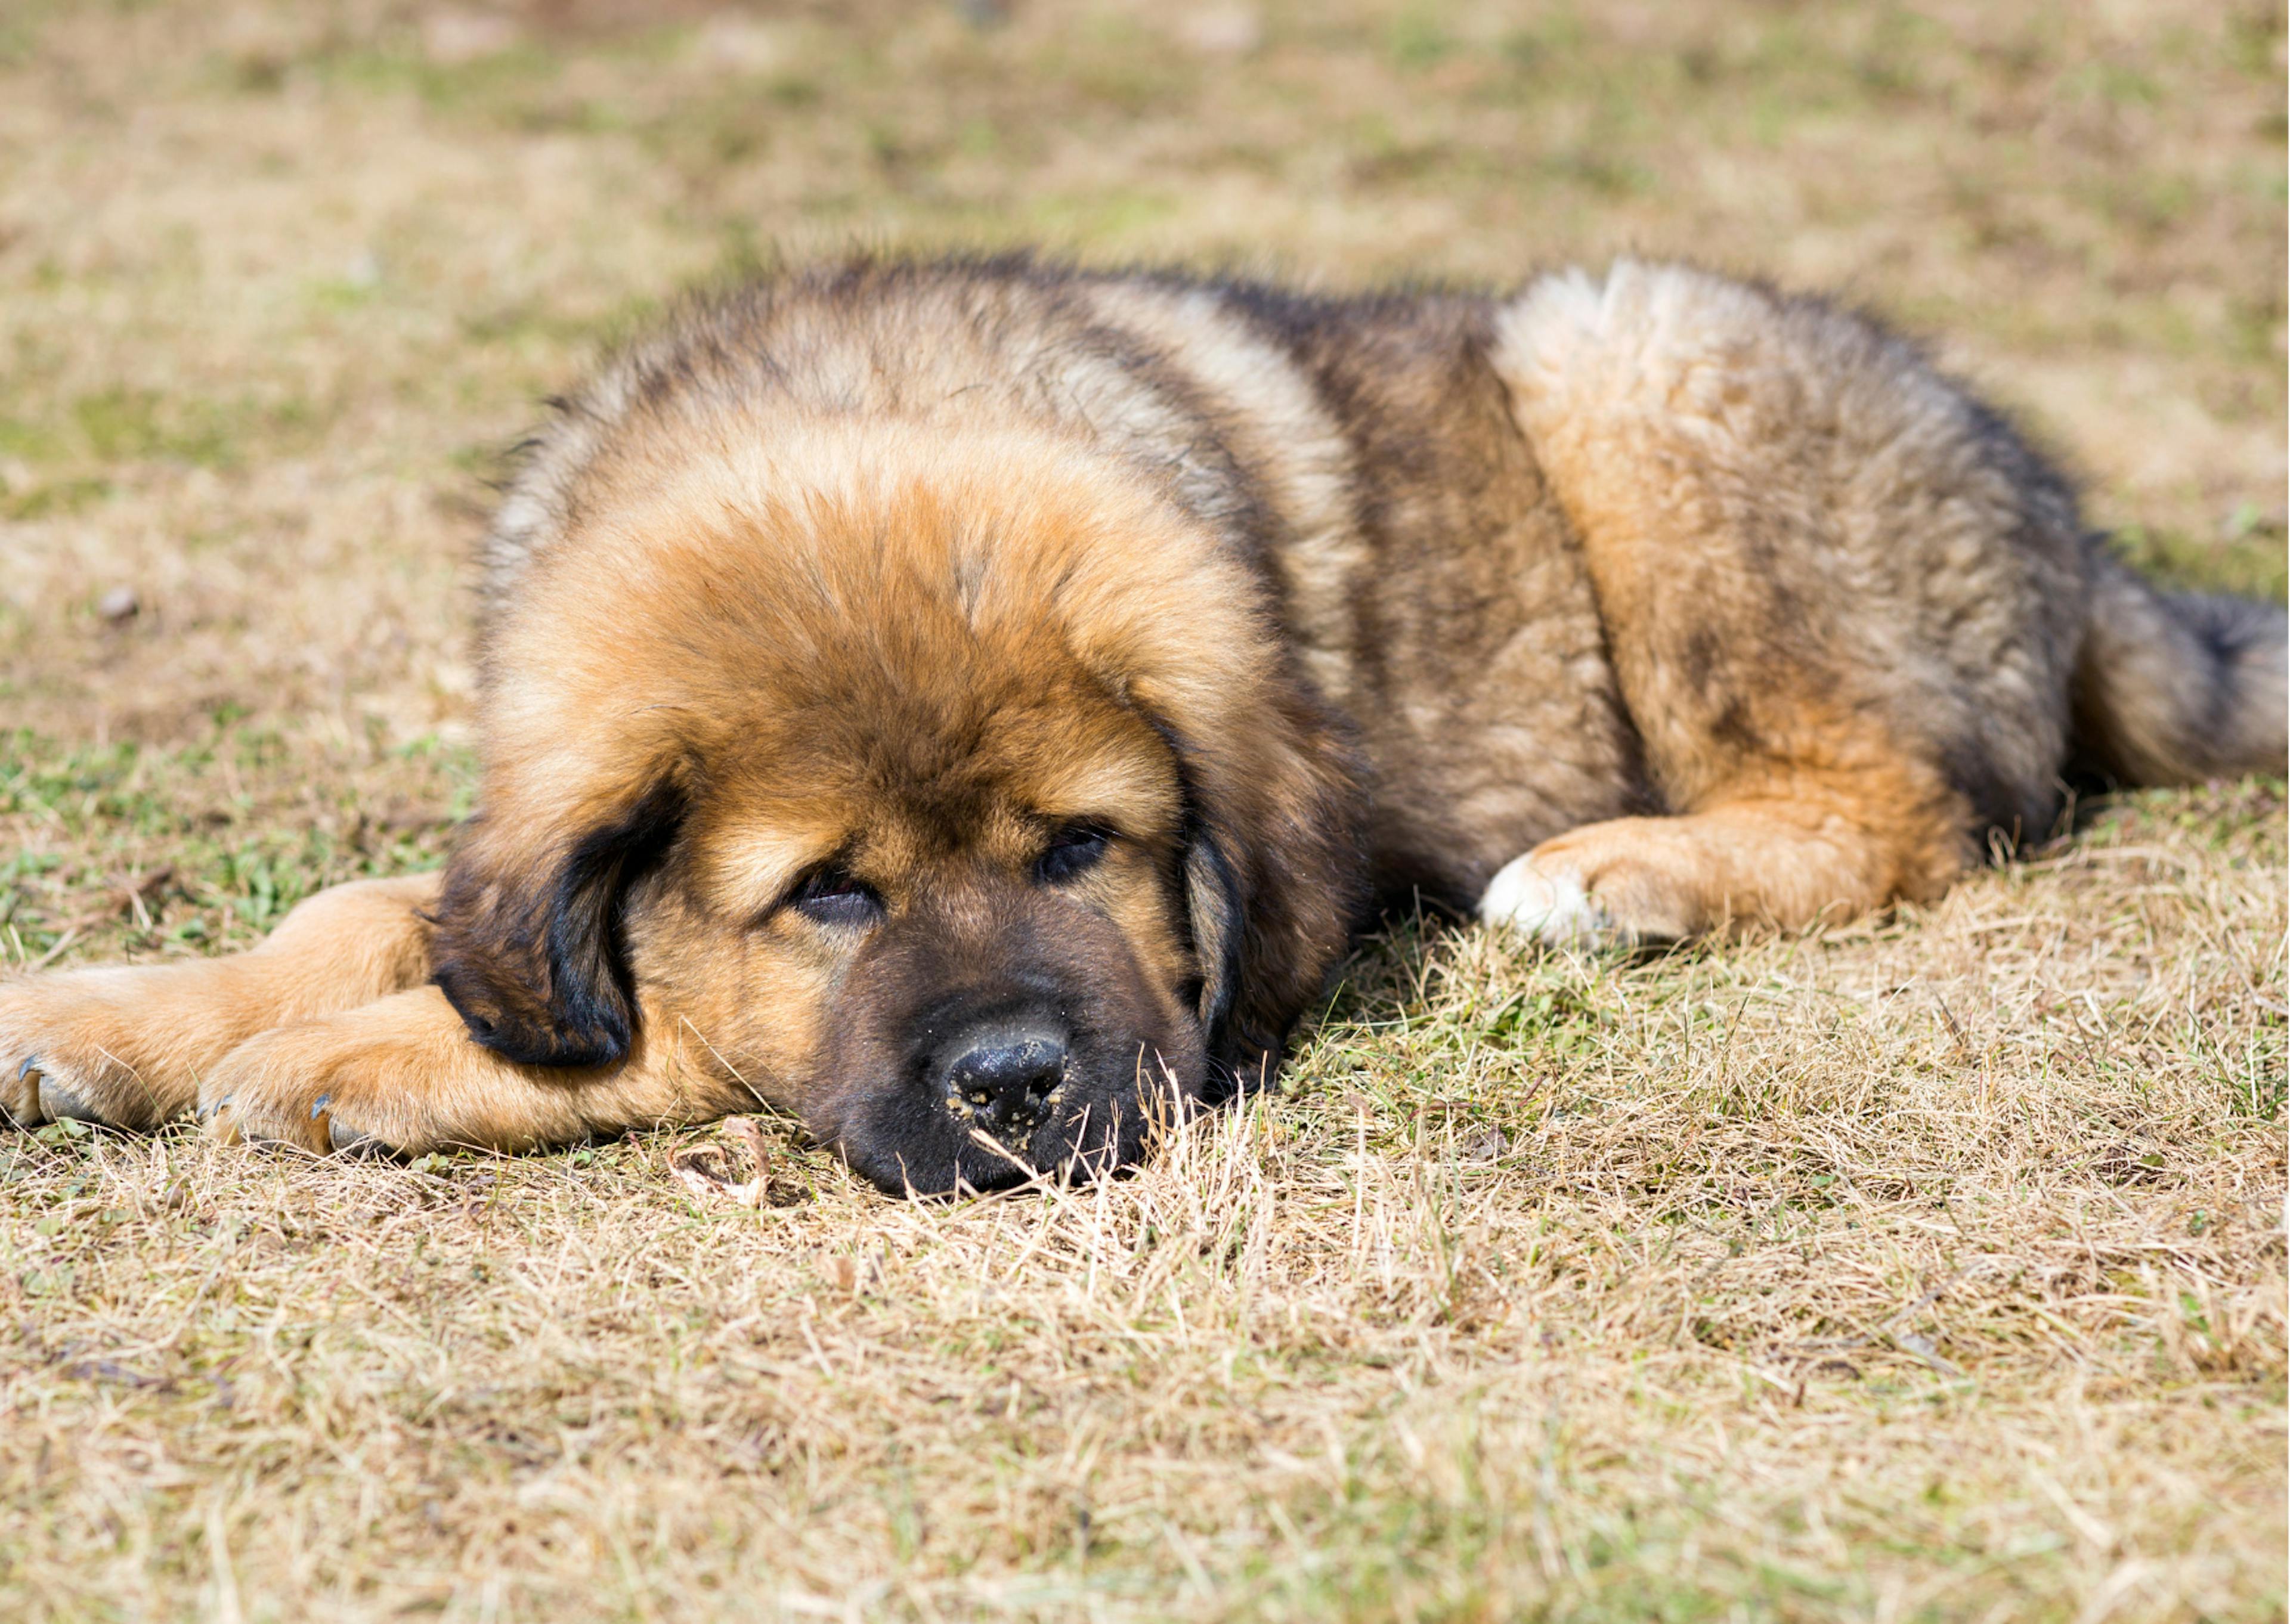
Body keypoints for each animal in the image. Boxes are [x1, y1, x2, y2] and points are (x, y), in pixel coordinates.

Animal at [4, 256, 2290, 1191]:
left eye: (1080, 848)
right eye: (828, 894)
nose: (1022, 1082)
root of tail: (2072, 536)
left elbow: (659, 1025)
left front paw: (355, 1062)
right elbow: (383, 914)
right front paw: (121, 1013)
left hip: (1623, 362)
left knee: (1911, 800)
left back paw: (1614, 871)